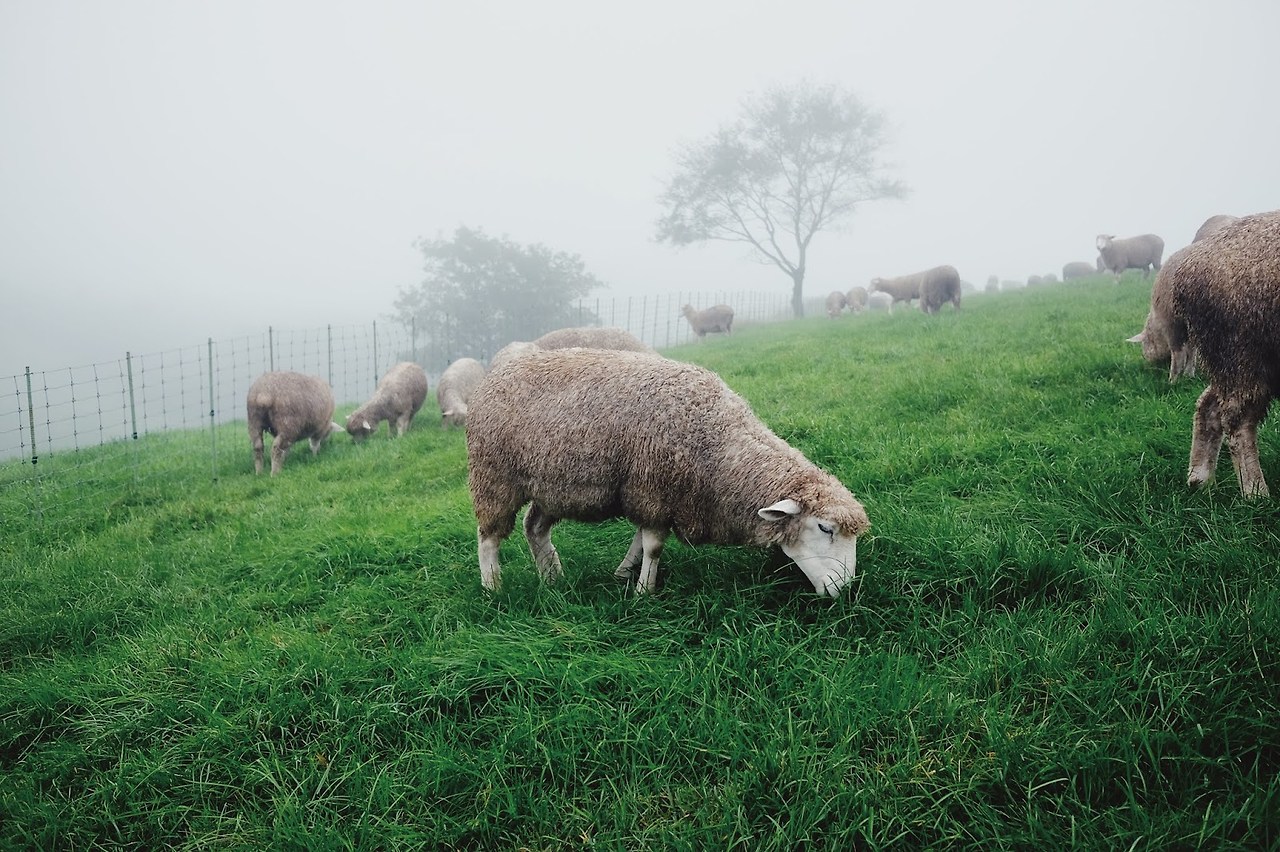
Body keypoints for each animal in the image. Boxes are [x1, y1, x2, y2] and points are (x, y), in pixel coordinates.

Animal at [465, 348, 870, 597]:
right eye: (825, 528)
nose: (845, 590)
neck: (717, 442)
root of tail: (497, 372)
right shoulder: (652, 486)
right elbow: (655, 546)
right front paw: (644, 591)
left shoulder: (656, 495)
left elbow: (641, 540)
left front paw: (625, 573)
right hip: (493, 475)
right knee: (489, 537)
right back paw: (492, 588)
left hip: (552, 485)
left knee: (534, 528)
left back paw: (552, 579)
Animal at [1161, 211, 1280, 497]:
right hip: (1241, 354)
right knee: (1238, 425)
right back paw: (1256, 494)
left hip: (1235, 361)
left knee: (1208, 405)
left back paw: (1199, 479)